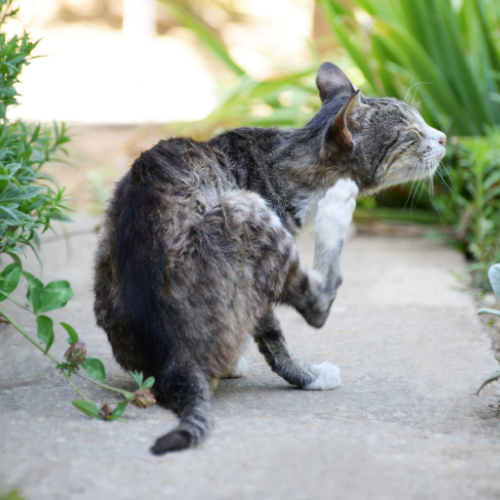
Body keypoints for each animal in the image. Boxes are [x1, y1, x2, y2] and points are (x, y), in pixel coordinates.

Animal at [93, 61, 446, 454]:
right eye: (411, 130)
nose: (445, 137)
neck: (289, 163)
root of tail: (173, 365)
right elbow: (274, 335)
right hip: (246, 210)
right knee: (317, 305)